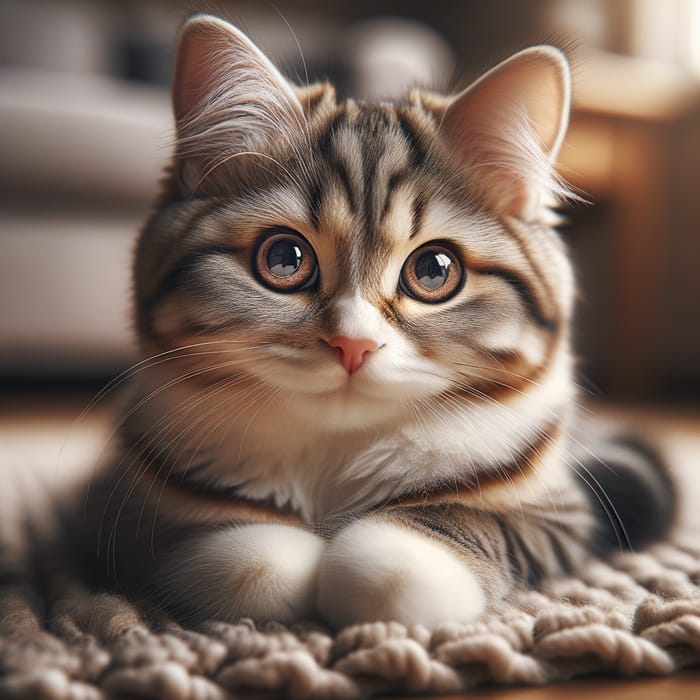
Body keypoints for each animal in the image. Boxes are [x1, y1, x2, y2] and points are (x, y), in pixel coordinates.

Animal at [64, 15, 672, 628]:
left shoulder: (560, 507)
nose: (351, 345)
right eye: (284, 259)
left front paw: (391, 565)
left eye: (434, 270)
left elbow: (450, 533)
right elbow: (243, 558)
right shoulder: (114, 504)